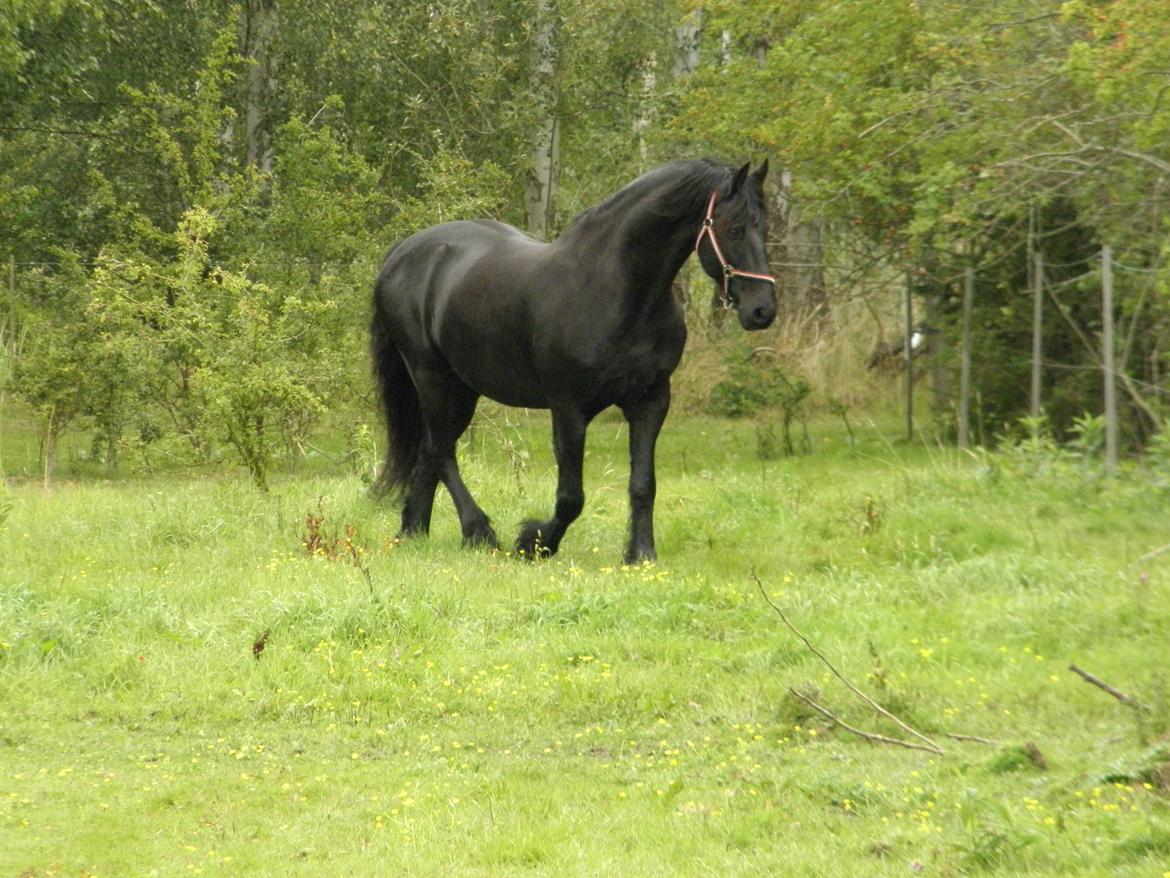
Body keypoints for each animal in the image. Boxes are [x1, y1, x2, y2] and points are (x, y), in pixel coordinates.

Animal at [374, 158, 772, 564]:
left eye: (764, 227)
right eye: (735, 228)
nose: (762, 310)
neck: (616, 292)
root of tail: (404, 251)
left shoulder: (651, 400)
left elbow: (644, 484)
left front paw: (641, 554)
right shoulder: (568, 409)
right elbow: (571, 497)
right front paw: (534, 542)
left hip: (462, 386)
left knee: (429, 450)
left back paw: (413, 531)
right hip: (430, 374)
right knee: (442, 450)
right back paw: (478, 531)